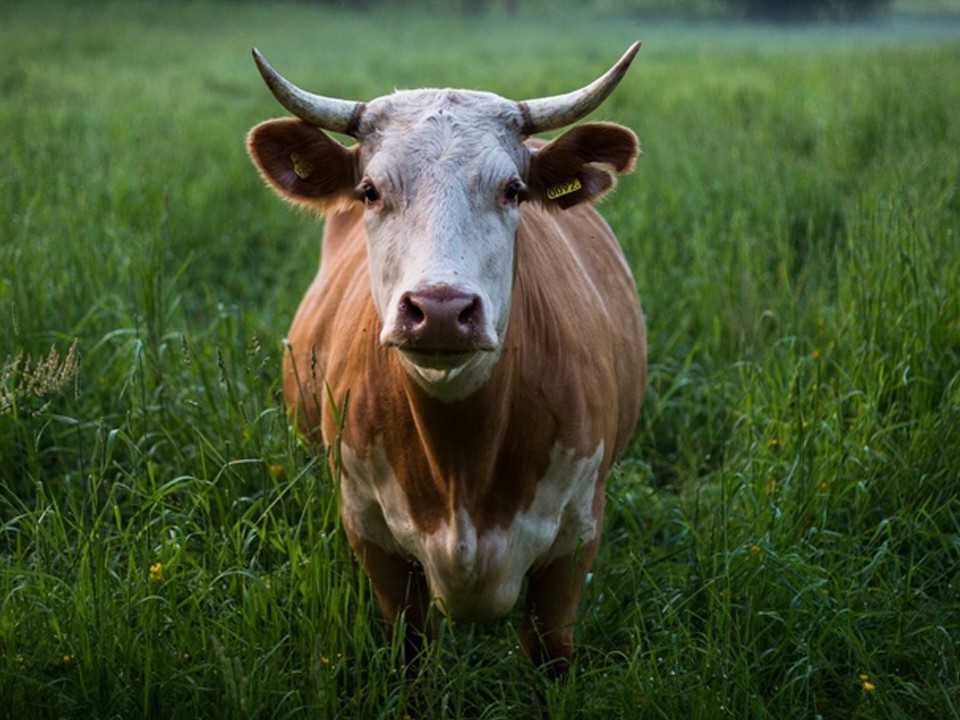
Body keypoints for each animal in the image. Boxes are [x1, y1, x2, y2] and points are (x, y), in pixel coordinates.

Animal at [248, 43, 648, 676]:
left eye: (513, 190)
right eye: (370, 190)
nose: (439, 309)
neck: (462, 463)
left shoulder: (574, 544)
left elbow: (550, 657)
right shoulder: (373, 539)